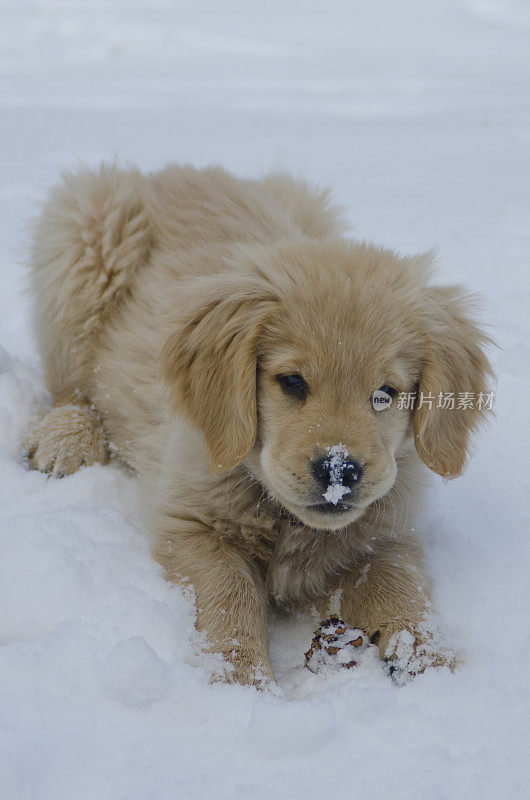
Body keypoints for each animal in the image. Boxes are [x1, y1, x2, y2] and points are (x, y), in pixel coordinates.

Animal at [22, 164, 488, 688]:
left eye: (386, 393)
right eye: (293, 381)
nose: (340, 472)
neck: (279, 510)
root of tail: (174, 169)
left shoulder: (385, 532)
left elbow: (400, 585)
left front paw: (429, 659)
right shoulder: (190, 522)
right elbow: (228, 593)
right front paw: (242, 680)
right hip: (81, 237)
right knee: (69, 386)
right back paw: (66, 437)